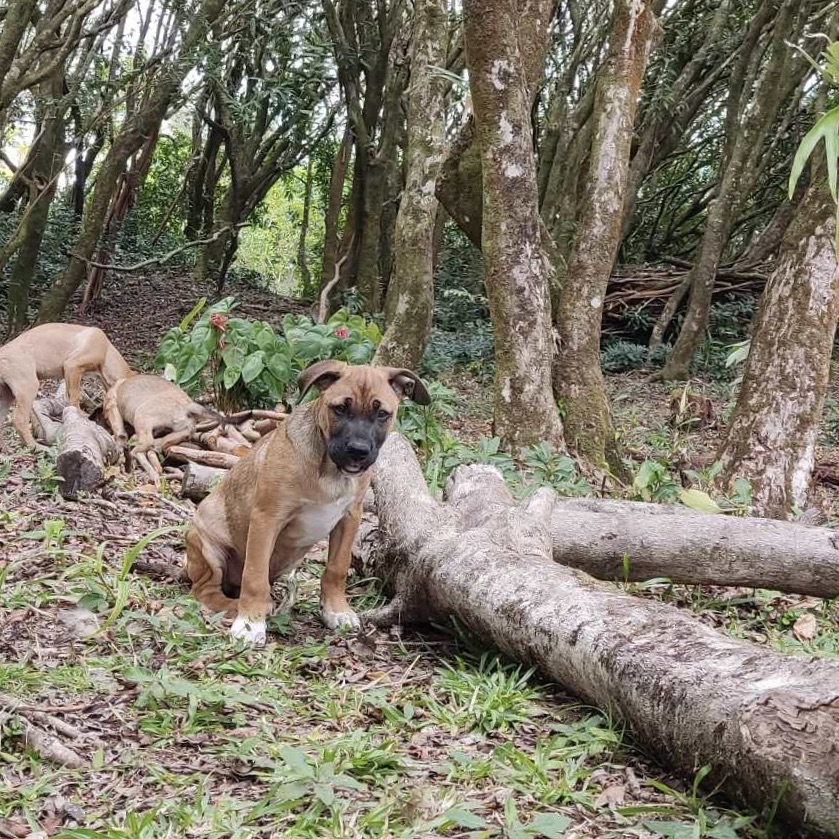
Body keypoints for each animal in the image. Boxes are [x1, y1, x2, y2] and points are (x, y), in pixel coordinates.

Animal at [0, 324, 131, 452]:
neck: (107, 351)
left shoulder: (69, 374)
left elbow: (69, 397)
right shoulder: (72, 366)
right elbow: (75, 396)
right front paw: (79, 416)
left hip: (6, 394)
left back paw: (5, 449)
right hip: (28, 386)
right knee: (19, 419)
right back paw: (35, 446)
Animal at [186, 360, 430, 644]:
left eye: (382, 414)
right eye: (340, 408)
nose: (357, 451)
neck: (330, 469)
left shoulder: (350, 517)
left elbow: (337, 568)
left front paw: (336, 610)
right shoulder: (267, 518)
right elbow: (254, 575)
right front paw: (249, 623)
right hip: (207, 545)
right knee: (206, 590)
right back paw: (239, 606)